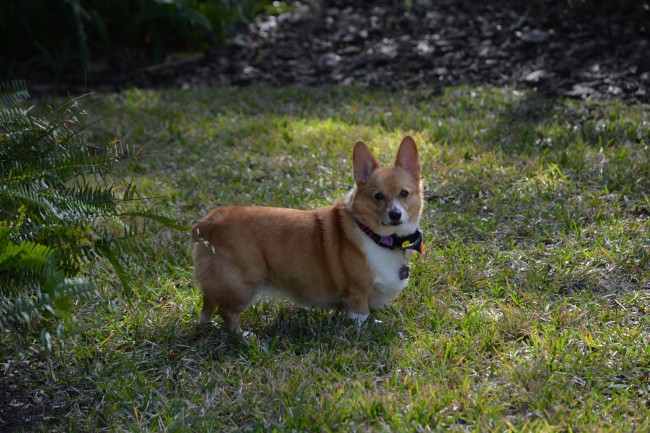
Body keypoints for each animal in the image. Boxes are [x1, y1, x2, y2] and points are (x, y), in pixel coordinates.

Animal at [191, 135, 426, 330]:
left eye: (404, 193)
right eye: (378, 196)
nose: (395, 214)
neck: (377, 236)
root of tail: (206, 223)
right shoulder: (356, 294)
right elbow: (361, 316)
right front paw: (366, 330)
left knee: (208, 302)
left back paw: (207, 324)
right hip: (242, 285)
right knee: (227, 311)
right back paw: (243, 336)